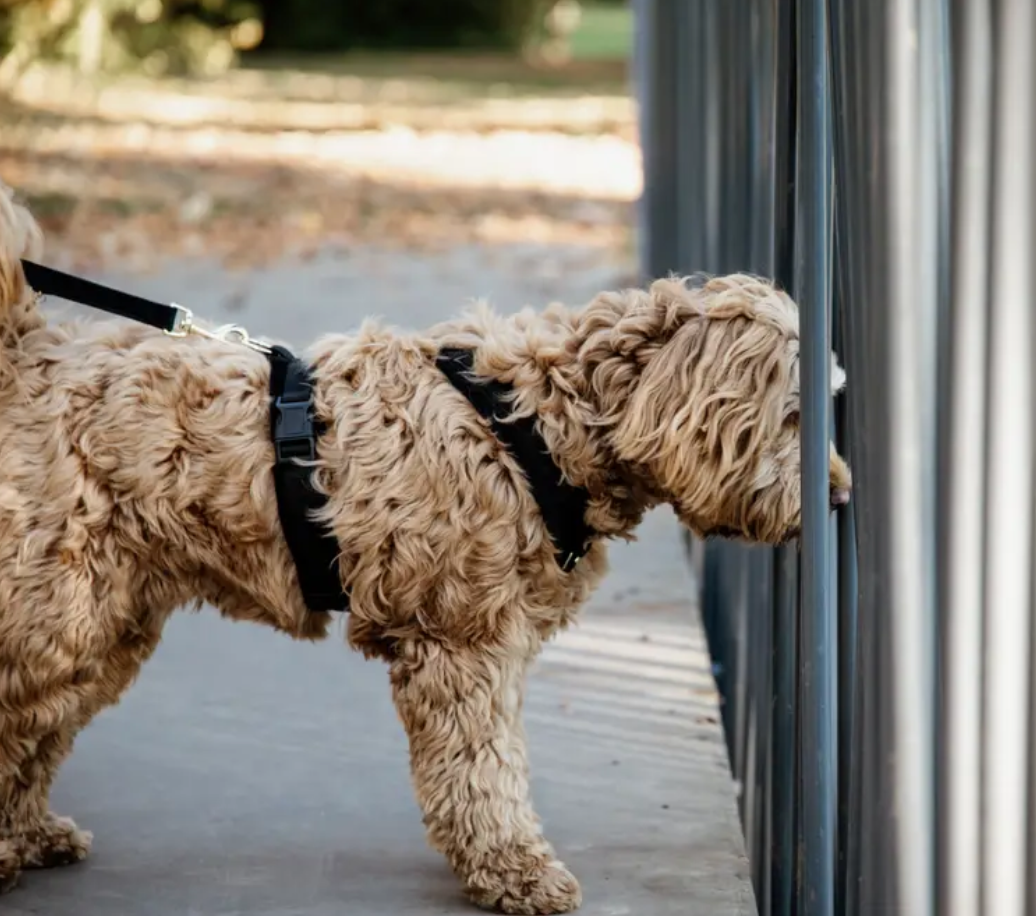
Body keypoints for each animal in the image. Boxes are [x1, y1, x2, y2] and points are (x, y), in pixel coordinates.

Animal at [0, 184, 849, 907]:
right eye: (796, 415)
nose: (839, 497)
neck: (538, 424)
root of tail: (30, 355)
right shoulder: (461, 645)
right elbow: (484, 771)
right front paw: (513, 869)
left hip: (105, 628)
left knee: (39, 731)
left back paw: (29, 834)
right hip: (57, 619)